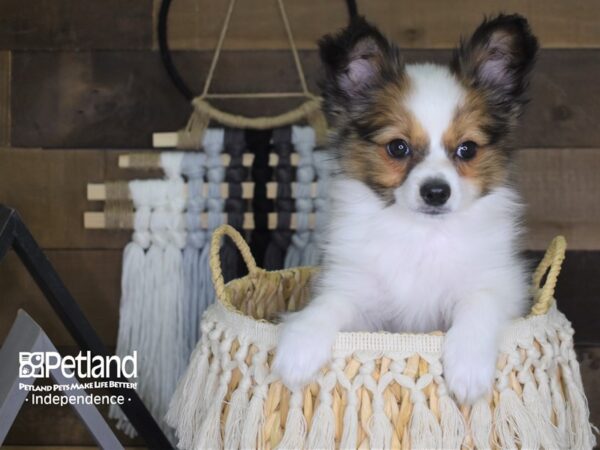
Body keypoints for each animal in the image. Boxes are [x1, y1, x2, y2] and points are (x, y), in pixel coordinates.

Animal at [272, 14, 540, 404]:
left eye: (467, 149)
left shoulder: (501, 285)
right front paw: (299, 346)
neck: (421, 233)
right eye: (398, 148)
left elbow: (479, 305)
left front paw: (469, 368)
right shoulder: (359, 293)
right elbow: (328, 305)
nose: (436, 192)